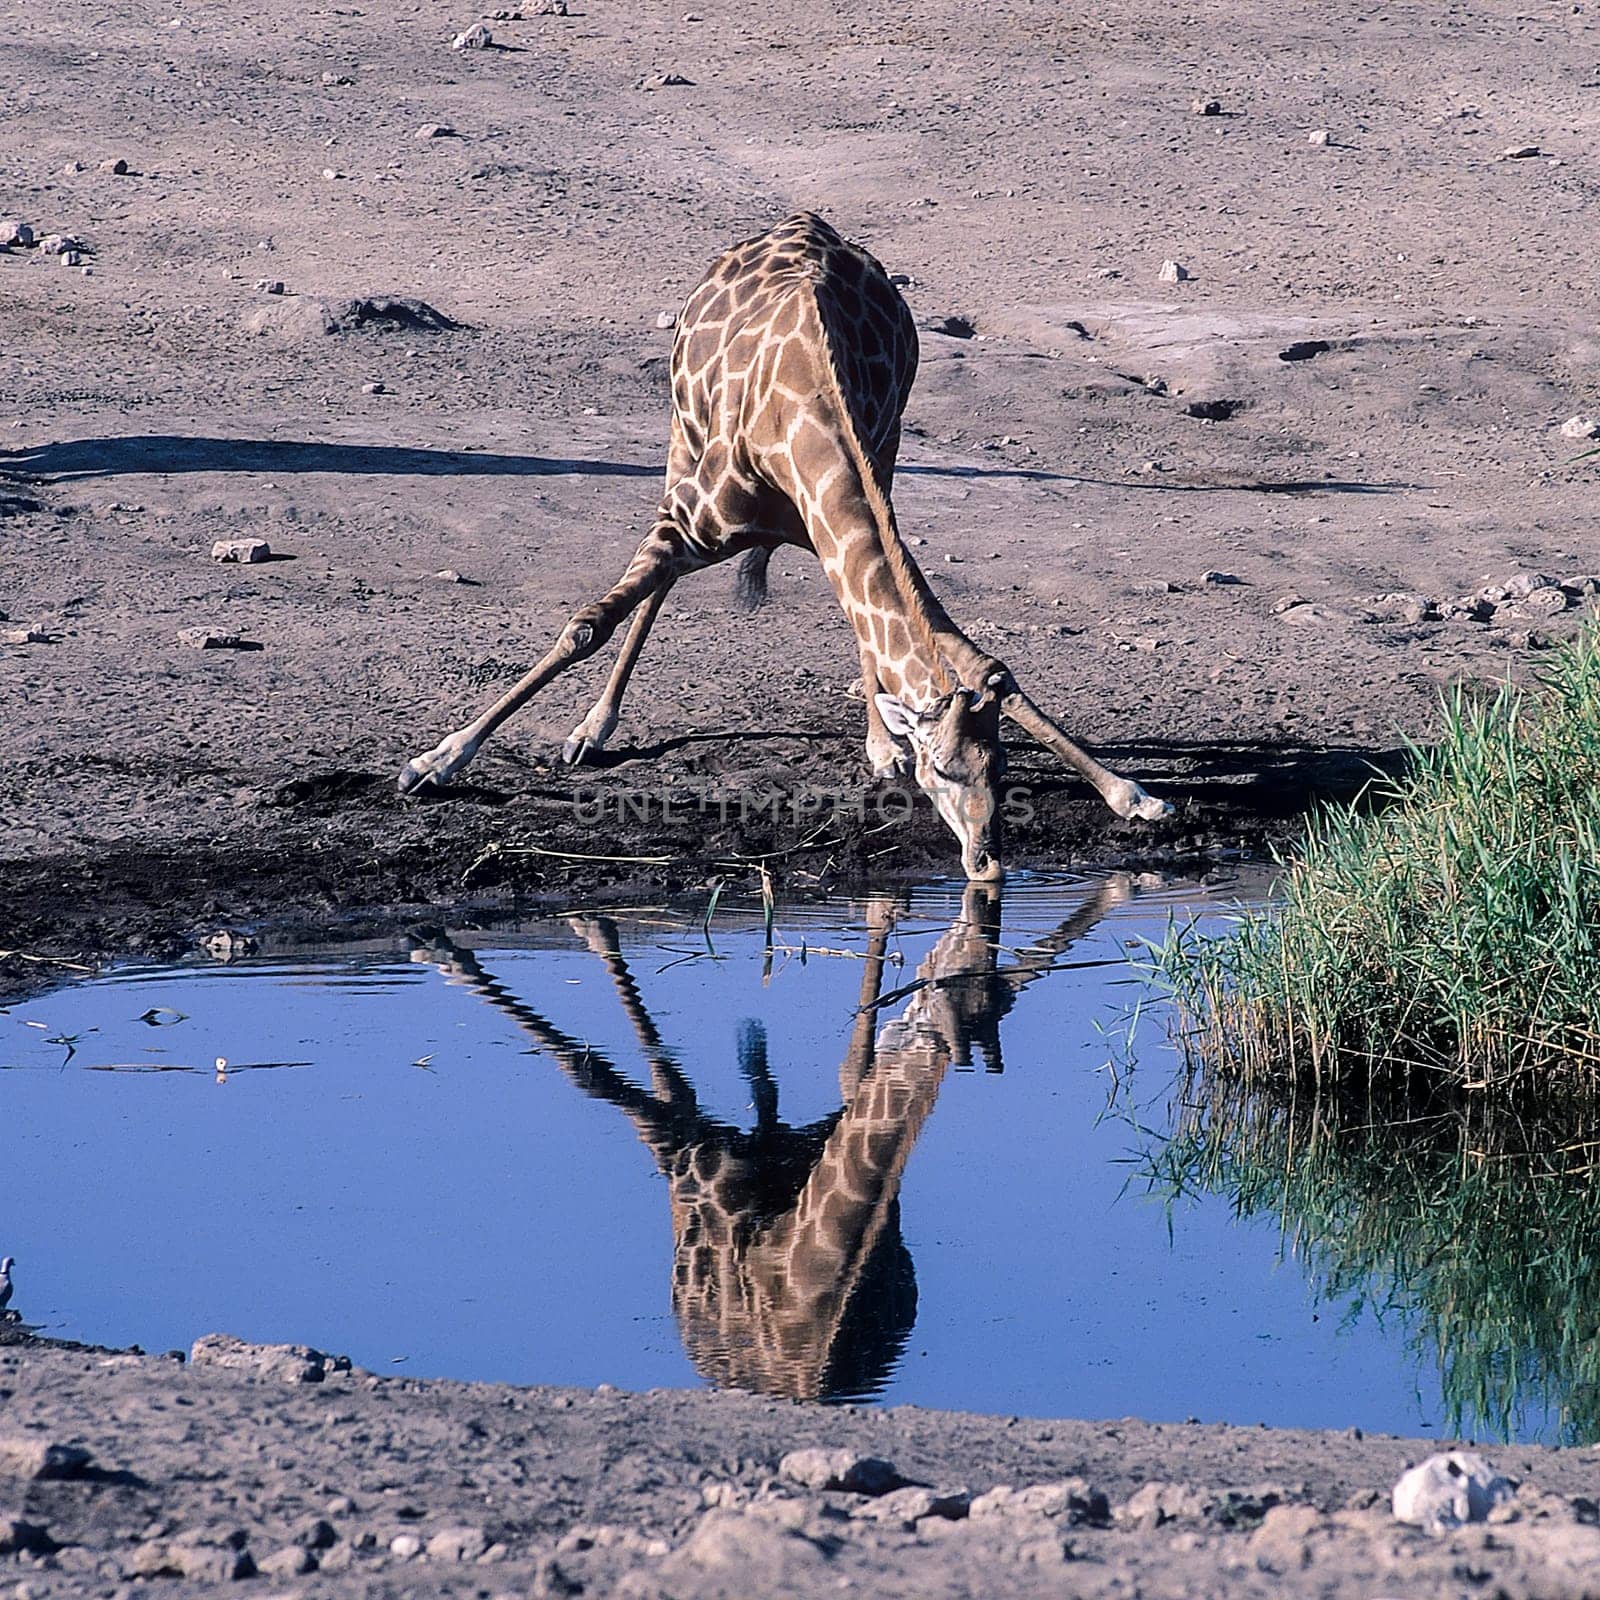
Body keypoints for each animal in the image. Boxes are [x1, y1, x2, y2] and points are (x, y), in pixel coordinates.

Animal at [400, 208, 1171, 883]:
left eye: (1000, 768)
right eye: (945, 770)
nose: (987, 864)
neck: (801, 428)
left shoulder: (861, 501)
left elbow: (980, 663)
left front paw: (1133, 796)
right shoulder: (691, 521)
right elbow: (588, 624)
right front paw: (437, 761)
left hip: (887, 442)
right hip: (680, 436)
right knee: (649, 591)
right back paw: (592, 728)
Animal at [412, 876, 1139, 1401]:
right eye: (971, 970)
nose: (965, 934)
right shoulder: (700, 1165)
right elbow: (596, 1077)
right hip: (691, 1169)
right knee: (642, 1084)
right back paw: (572, 929)